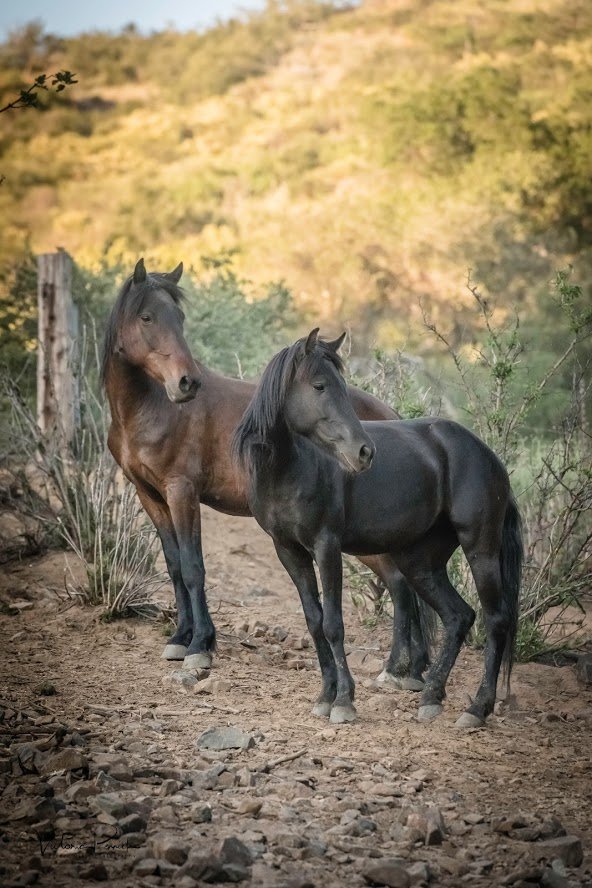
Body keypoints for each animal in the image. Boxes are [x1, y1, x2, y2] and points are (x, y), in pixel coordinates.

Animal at [102, 259, 434, 683]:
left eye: (179, 318)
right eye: (147, 317)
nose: (186, 382)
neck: (154, 407)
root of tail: (394, 418)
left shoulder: (182, 492)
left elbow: (193, 567)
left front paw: (200, 646)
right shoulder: (151, 495)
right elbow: (175, 565)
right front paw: (180, 638)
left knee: (400, 586)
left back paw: (400, 670)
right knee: (400, 585)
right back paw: (408, 669)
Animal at [233, 329, 523, 728]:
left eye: (342, 385)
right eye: (320, 385)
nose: (364, 452)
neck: (292, 467)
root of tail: (488, 456)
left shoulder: (326, 546)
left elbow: (333, 624)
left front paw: (343, 701)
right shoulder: (288, 551)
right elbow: (314, 621)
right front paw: (325, 696)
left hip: (481, 549)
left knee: (495, 620)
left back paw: (477, 708)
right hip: (420, 562)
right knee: (458, 616)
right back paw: (431, 696)